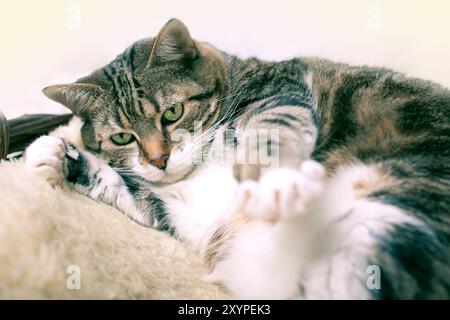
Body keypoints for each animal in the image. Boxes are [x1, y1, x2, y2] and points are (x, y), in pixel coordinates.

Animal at [23, 18, 450, 298]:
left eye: (172, 113)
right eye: (122, 137)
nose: (159, 160)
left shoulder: (279, 95)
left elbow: (270, 131)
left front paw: (272, 184)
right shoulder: (172, 207)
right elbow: (122, 186)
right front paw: (54, 152)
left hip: (385, 217)